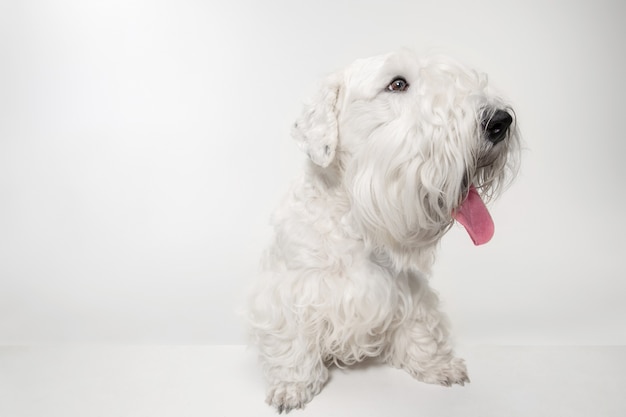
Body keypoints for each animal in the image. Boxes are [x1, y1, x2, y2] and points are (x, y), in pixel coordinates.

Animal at [246, 50, 520, 412]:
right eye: (397, 83)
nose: (500, 121)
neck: (353, 222)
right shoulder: (289, 293)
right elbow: (292, 340)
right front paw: (292, 386)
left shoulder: (410, 291)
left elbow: (419, 328)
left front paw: (438, 365)